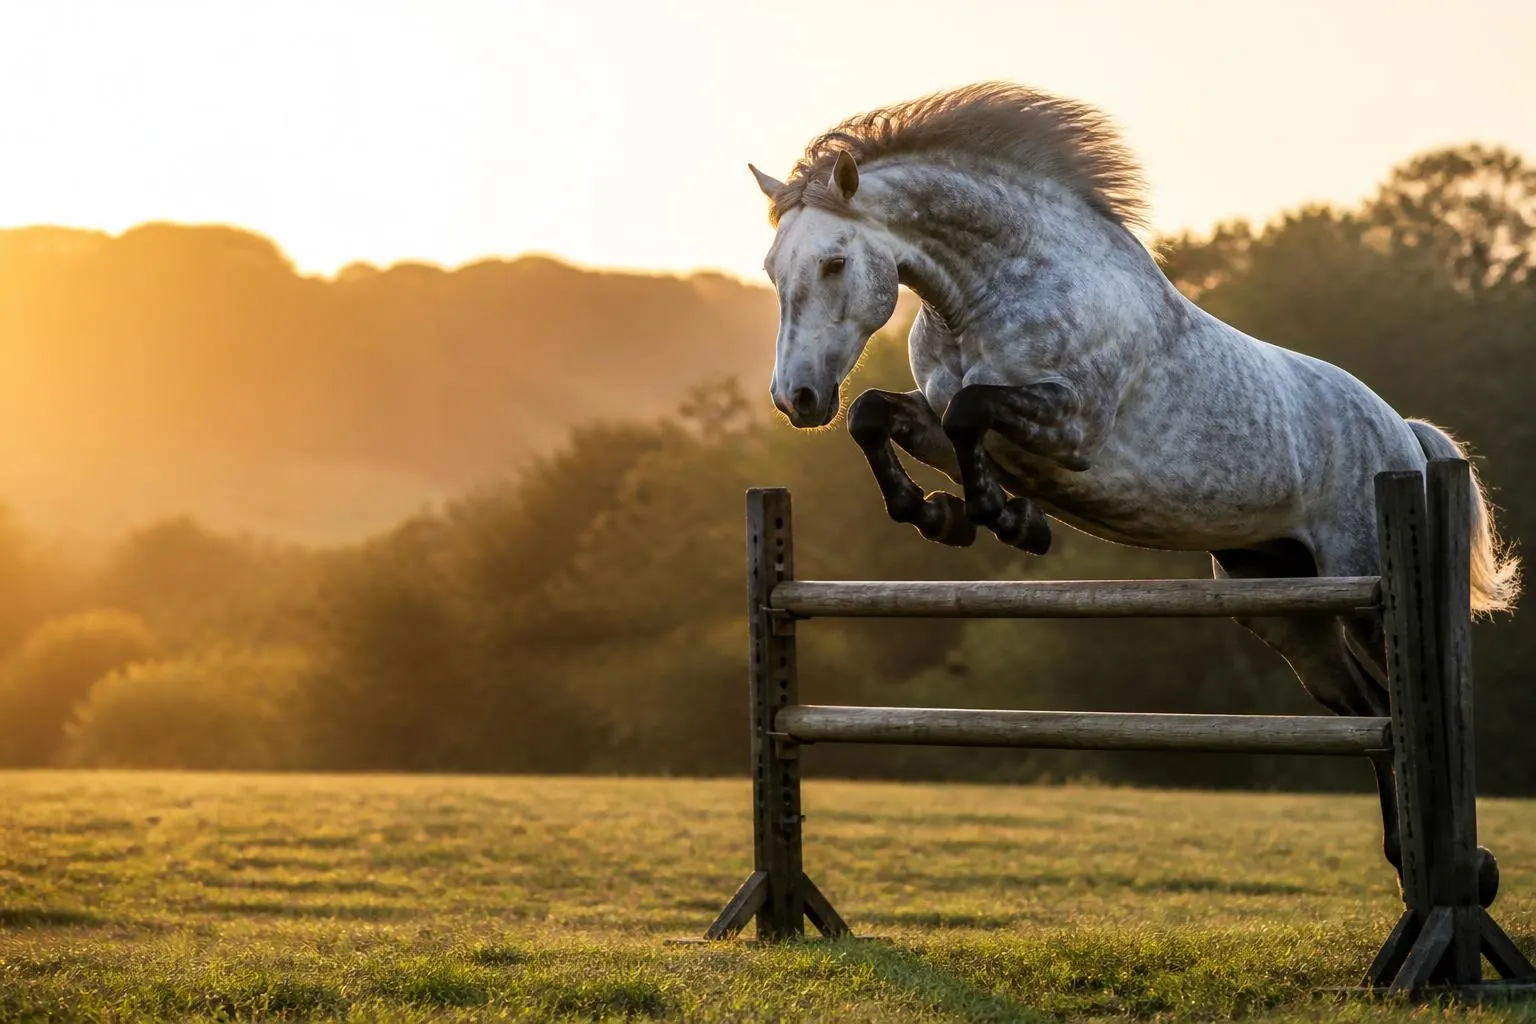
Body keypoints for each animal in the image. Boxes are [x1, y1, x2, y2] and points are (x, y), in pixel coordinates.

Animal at [747, 82, 1519, 905]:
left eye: (833, 262)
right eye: (772, 268)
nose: (796, 399)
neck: (991, 292)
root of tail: (1403, 436)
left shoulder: (1071, 426)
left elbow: (970, 413)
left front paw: (1003, 519)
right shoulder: (945, 416)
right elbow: (880, 415)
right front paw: (943, 515)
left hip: (1362, 589)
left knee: (1406, 707)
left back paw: (1460, 875)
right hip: (1283, 610)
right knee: (1371, 718)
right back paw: (1408, 865)